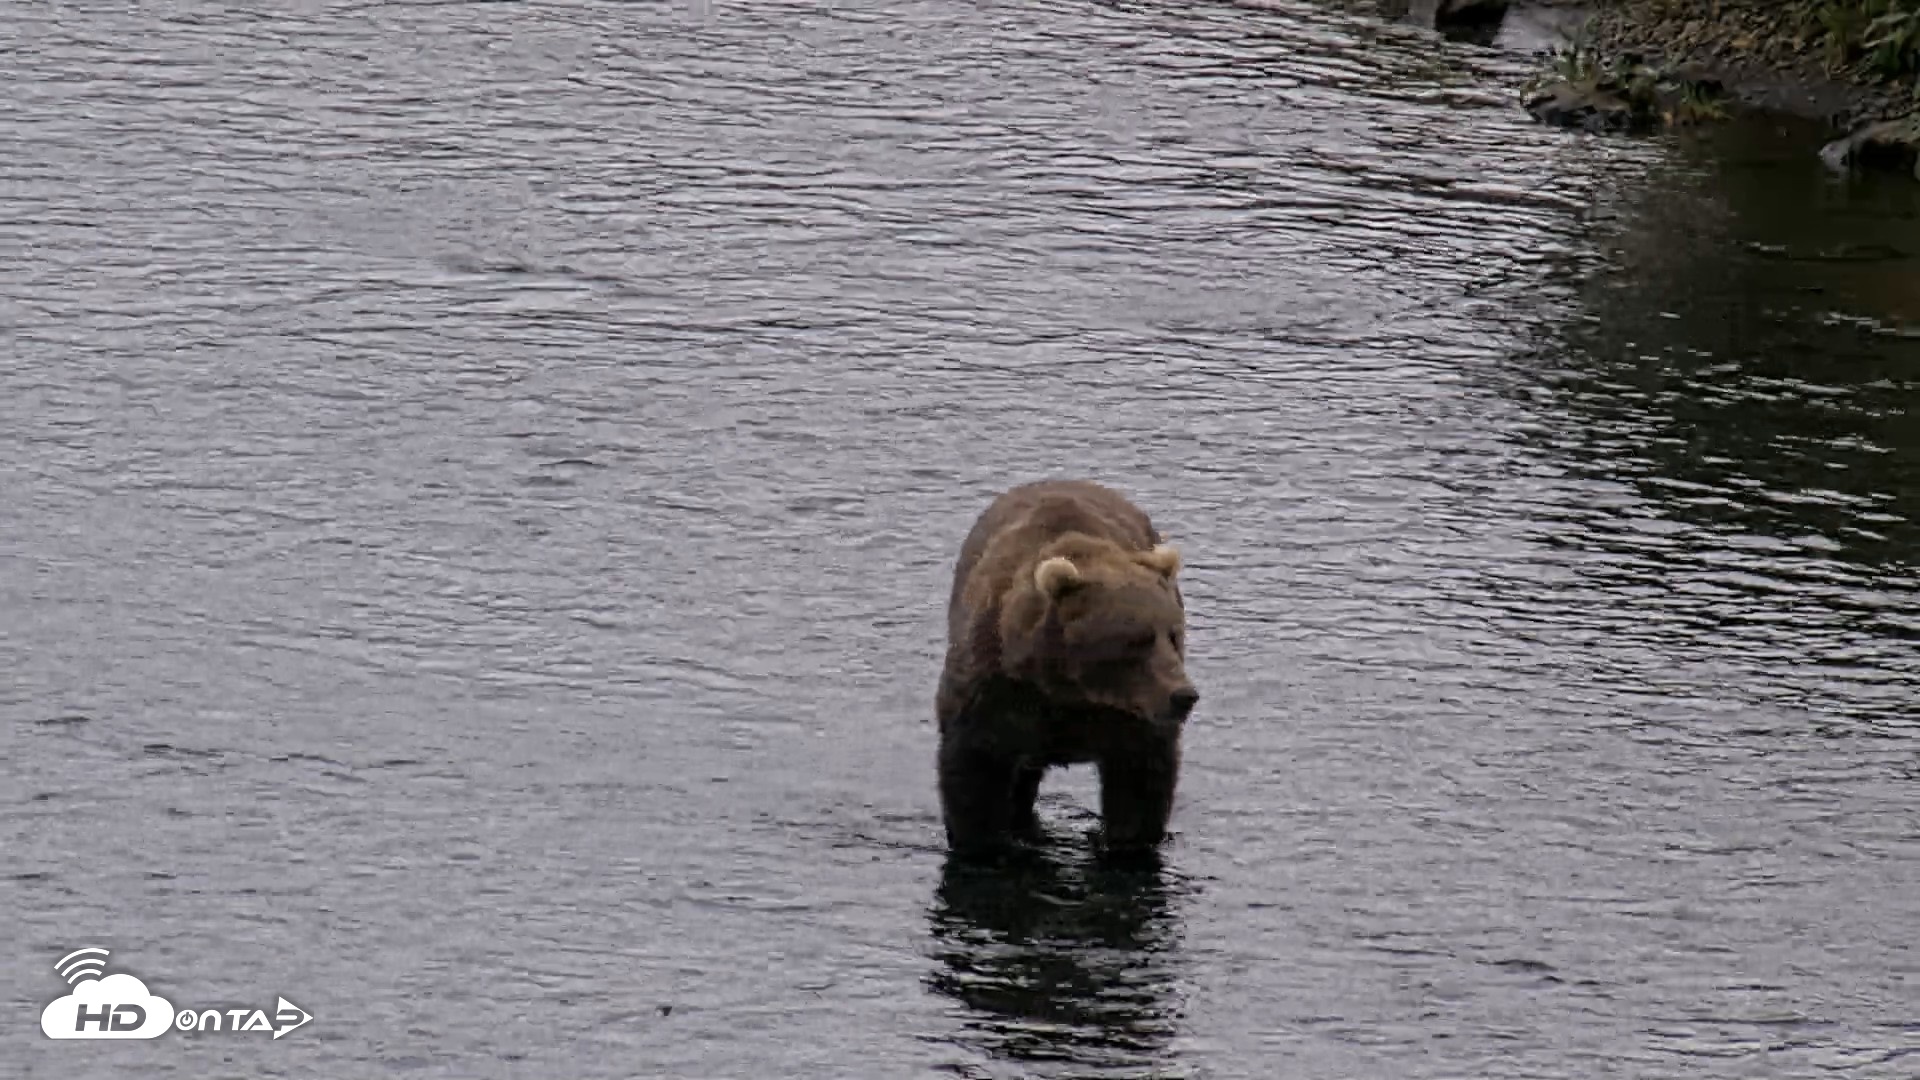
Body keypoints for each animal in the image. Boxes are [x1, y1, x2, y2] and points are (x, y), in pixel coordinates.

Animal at [934, 479, 1199, 859]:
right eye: (1138, 640)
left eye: (1173, 635)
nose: (1184, 695)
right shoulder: (997, 692)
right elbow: (975, 769)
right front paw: (983, 843)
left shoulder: (1132, 717)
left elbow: (1139, 782)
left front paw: (1125, 842)